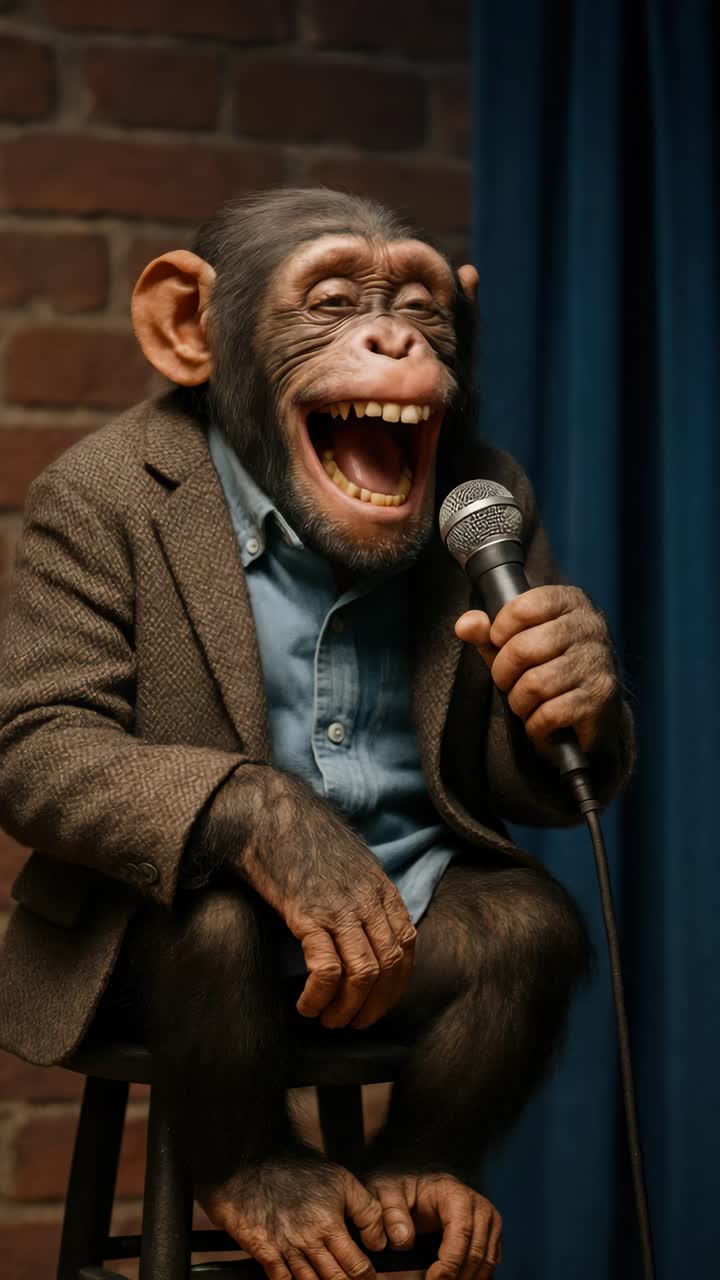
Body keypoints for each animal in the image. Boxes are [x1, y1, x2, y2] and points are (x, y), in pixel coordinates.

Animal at [0, 189, 632, 1280]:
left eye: (420, 304)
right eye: (333, 300)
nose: (393, 339)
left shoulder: (505, 491)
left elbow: (514, 777)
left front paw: (565, 658)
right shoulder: (79, 501)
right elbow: (50, 728)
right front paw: (306, 848)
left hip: (389, 998)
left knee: (522, 927)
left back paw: (420, 1173)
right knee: (209, 904)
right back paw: (272, 1184)